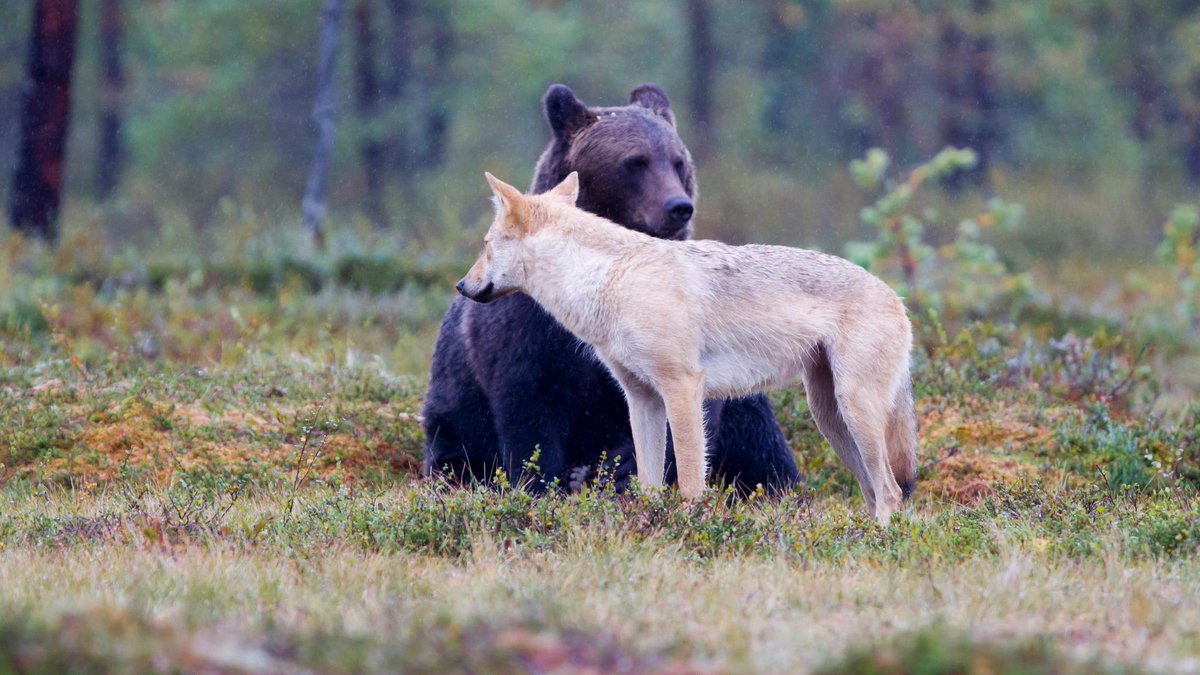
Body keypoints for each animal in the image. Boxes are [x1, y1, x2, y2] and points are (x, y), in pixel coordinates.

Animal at [422, 83, 801, 495]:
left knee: (761, 445)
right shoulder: (529, 335)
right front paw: (540, 483)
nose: (678, 206)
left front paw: (622, 471)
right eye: (635, 161)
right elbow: (530, 410)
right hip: (451, 410)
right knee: (454, 453)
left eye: (678, 161)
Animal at [458, 172, 919, 525]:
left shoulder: (683, 388)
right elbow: (648, 484)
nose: (461, 286)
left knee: (890, 491)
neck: (611, 280)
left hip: (853, 412)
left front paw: (692, 528)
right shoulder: (642, 399)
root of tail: (898, 298)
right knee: (874, 491)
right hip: (831, 418)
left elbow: (691, 483)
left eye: (485, 244)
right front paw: (649, 527)